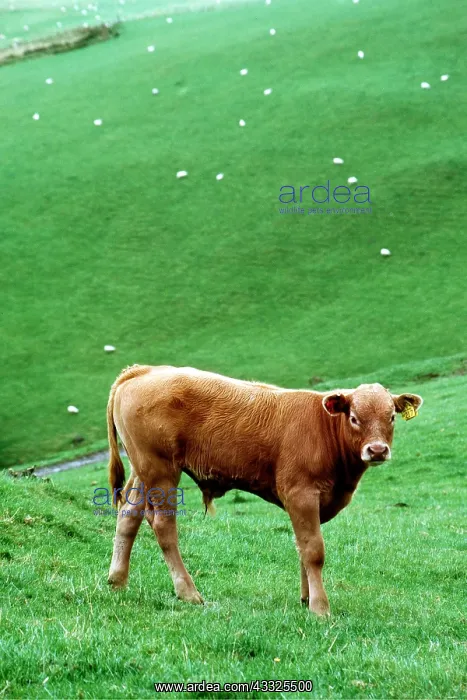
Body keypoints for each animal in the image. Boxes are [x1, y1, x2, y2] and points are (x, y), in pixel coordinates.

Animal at [106, 364, 422, 615]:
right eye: (354, 417)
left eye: (391, 417)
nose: (377, 450)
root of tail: (144, 370)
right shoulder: (301, 494)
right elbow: (313, 550)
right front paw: (320, 608)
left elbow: (301, 546)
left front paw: (306, 598)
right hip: (160, 469)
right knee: (163, 525)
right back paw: (188, 592)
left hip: (142, 469)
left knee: (128, 517)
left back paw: (117, 581)